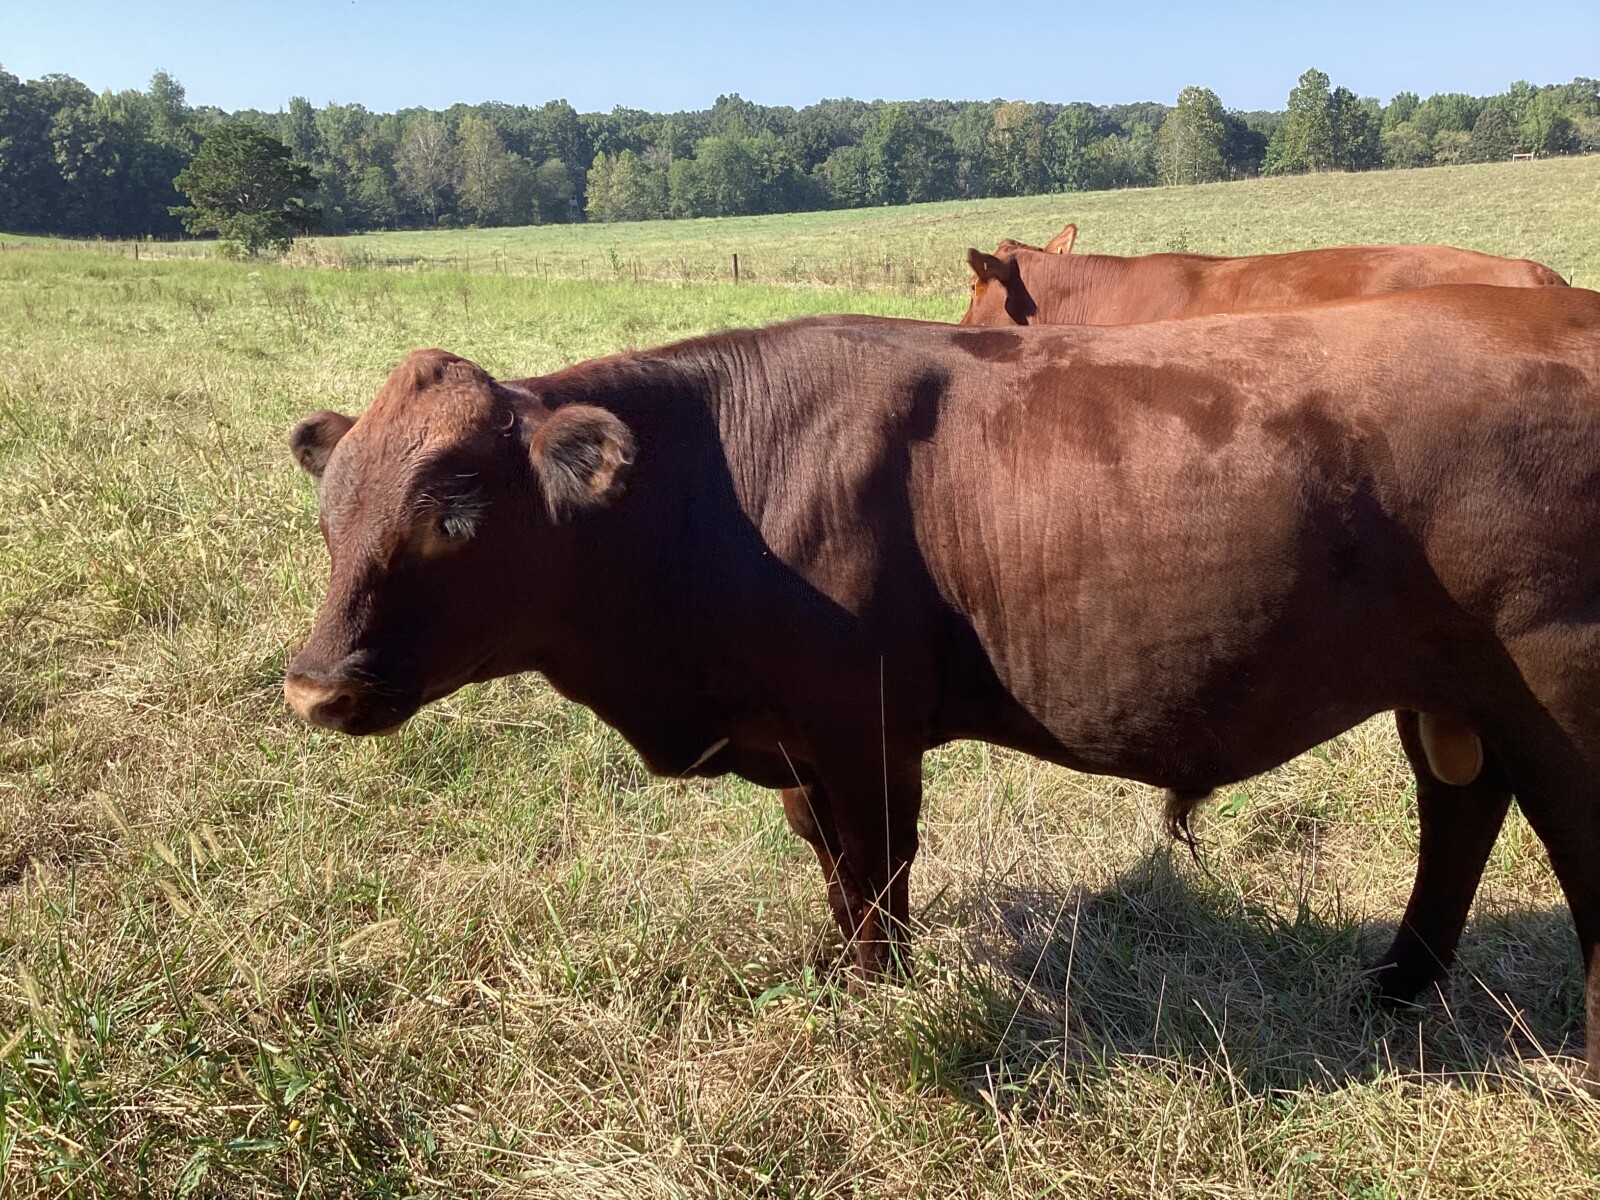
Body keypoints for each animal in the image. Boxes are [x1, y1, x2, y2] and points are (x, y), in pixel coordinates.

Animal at [284, 284, 1600, 1079]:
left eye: (452, 516)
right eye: (331, 511)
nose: (311, 688)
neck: (712, 488)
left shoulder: (860, 725)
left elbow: (876, 867)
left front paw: (875, 996)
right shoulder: (793, 738)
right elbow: (829, 861)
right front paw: (834, 974)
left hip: (1555, 685)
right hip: (1450, 690)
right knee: (1459, 811)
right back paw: (1394, 987)